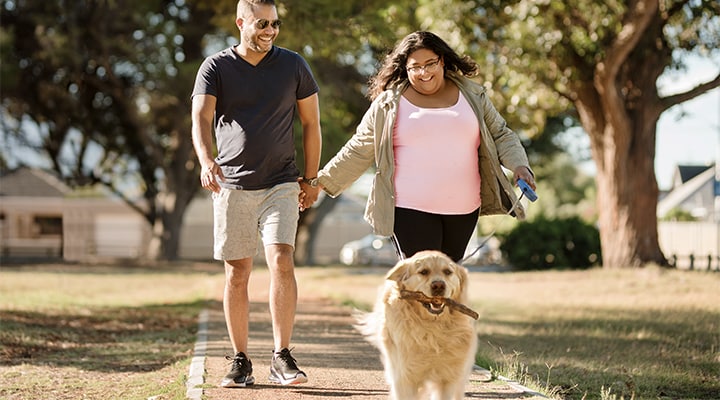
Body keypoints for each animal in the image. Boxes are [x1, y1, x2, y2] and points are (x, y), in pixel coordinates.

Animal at [354, 252, 478, 398]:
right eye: (423, 271)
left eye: (448, 272)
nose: (438, 285)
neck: (433, 327)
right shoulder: (405, 377)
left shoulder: (448, 377)